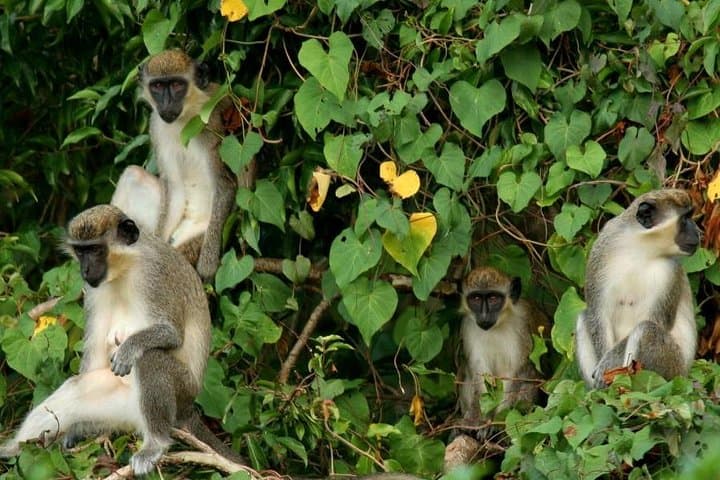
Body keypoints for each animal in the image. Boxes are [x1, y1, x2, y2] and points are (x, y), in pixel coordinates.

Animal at [0, 205, 243, 474]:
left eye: (95, 250)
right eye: (81, 251)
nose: (85, 270)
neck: (125, 268)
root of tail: (190, 409)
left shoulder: (155, 276)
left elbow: (172, 335)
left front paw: (129, 348)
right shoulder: (93, 290)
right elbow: (94, 356)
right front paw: (73, 432)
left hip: (183, 393)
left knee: (151, 359)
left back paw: (155, 444)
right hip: (117, 405)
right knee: (75, 388)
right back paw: (13, 449)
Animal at [111, 49, 255, 281]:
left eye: (177, 85)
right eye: (158, 86)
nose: (166, 103)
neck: (185, 117)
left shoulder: (210, 124)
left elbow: (225, 185)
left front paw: (207, 266)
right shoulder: (156, 125)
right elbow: (174, 188)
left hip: (199, 234)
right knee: (134, 175)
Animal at [457, 266, 548, 433]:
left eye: (493, 298)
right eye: (476, 299)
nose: (484, 315)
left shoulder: (522, 324)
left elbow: (516, 372)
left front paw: (499, 421)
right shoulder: (468, 326)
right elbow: (480, 375)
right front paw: (477, 419)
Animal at [575, 189, 700, 389]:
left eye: (689, 215)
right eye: (685, 218)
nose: (697, 231)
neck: (641, 249)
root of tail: (685, 375)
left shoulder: (670, 271)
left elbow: (654, 320)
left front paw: (607, 364)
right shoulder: (601, 251)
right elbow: (597, 314)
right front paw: (604, 365)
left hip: (672, 371)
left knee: (646, 330)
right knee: (583, 317)